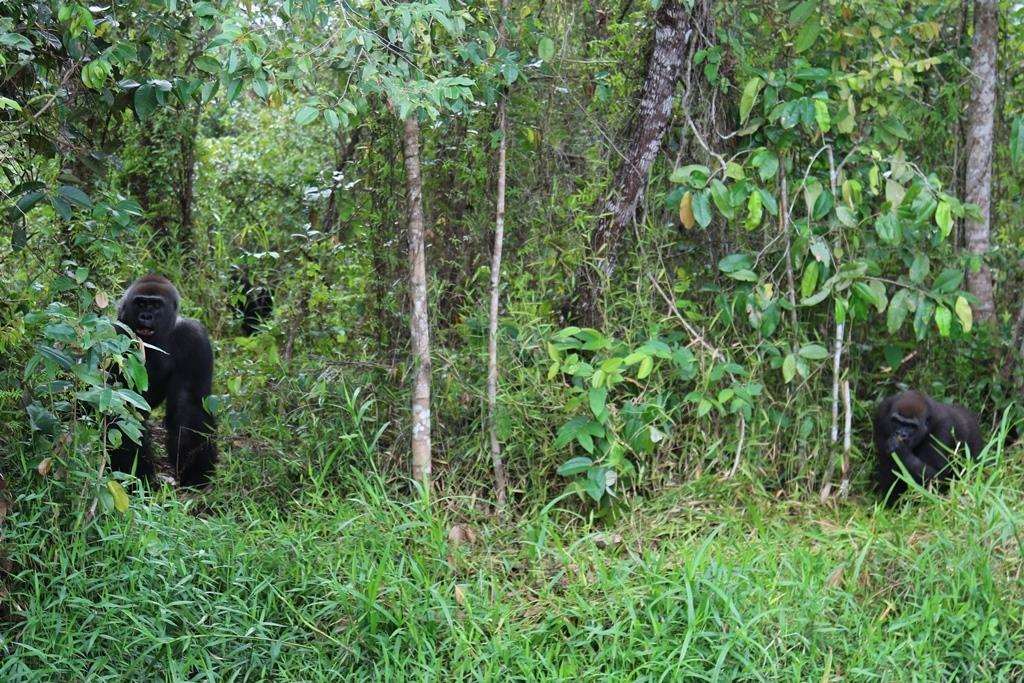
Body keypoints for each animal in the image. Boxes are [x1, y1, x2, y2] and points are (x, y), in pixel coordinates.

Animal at [112, 272, 216, 485]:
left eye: (155, 305)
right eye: (140, 303)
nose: (146, 316)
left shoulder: (193, 337)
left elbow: (189, 404)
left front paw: (194, 471)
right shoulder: (115, 334)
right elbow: (121, 406)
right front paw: (137, 475)